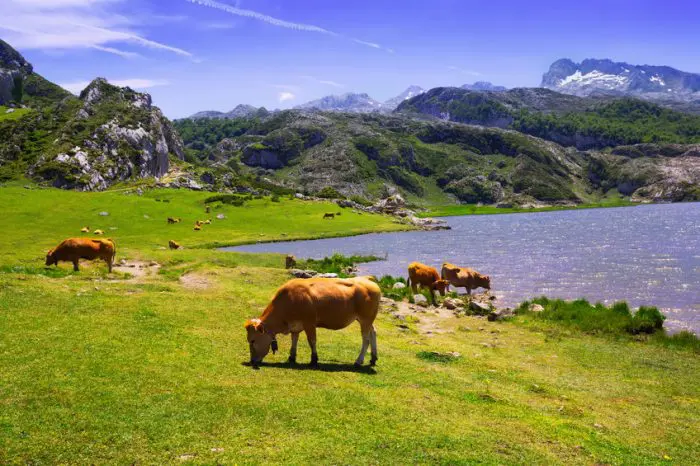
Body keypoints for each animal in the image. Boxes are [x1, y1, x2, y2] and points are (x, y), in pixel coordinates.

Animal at [243, 276, 380, 368]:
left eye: (252, 340)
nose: (252, 361)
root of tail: (366, 279)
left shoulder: (309, 323)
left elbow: (312, 341)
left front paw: (314, 360)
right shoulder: (295, 325)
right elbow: (294, 339)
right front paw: (291, 357)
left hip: (365, 319)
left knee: (366, 339)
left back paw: (358, 361)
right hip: (367, 320)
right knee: (373, 332)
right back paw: (373, 358)